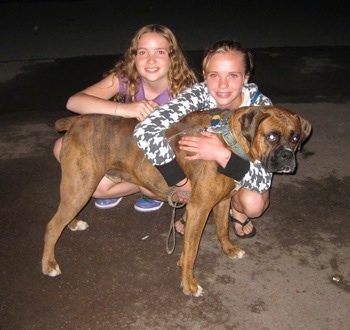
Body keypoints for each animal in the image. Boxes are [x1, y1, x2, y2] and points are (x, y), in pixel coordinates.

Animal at [41, 105, 312, 296]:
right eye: (272, 137)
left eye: (295, 138)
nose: (287, 156)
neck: (229, 141)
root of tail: (77, 120)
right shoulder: (200, 208)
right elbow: (191, 250)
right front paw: (189, 284)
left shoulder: (221, 202)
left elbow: (222, 229)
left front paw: (229, 249)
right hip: (81, 186)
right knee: (53, 225)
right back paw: (49, 264)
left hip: (80, 188)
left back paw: (73, 223)